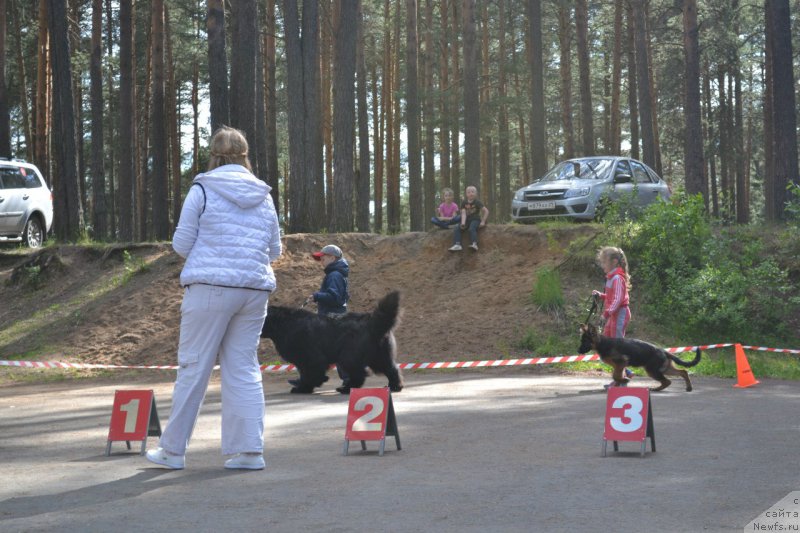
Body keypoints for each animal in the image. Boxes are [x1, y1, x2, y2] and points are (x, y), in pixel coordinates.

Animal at [260, 288, 404, 392]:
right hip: (379, 356)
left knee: (359, 373)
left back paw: (346, 388)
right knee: (391, 369)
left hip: (349, 356)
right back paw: (395, 386)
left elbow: (309, 373)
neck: (283, 324)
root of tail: (371, 322)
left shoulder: (310, 357)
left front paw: (304, 387)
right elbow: (306, 373)